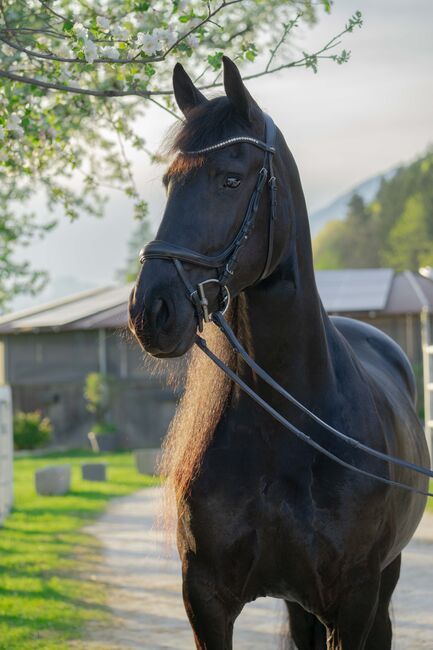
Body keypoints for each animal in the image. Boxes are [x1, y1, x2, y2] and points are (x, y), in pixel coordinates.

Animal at [129, 58, 428, 644]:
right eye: (170, 181)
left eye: (230, 178)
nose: (151, 310)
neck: (288, 429)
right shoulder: (206, 601)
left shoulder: (352, 602)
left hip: (383, 584)